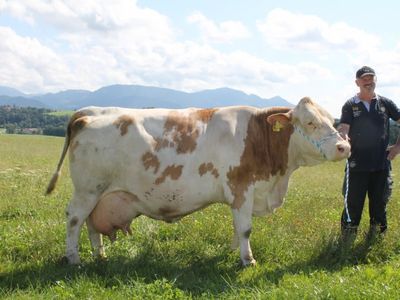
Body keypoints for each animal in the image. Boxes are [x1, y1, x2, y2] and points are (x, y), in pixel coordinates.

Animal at [46, 97, 350, 266]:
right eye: (310, 122)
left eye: (332, 120)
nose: (344, 147)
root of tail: (87, 113)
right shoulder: (241, 188)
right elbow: (245, 228)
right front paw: (248, 260)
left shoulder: (242, 195)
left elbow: (237, 228)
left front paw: (233, 253)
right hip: (87, 189)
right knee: (74, 219)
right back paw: (74, 259)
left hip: (99, 194)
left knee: (90, 223)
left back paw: (100, 255)